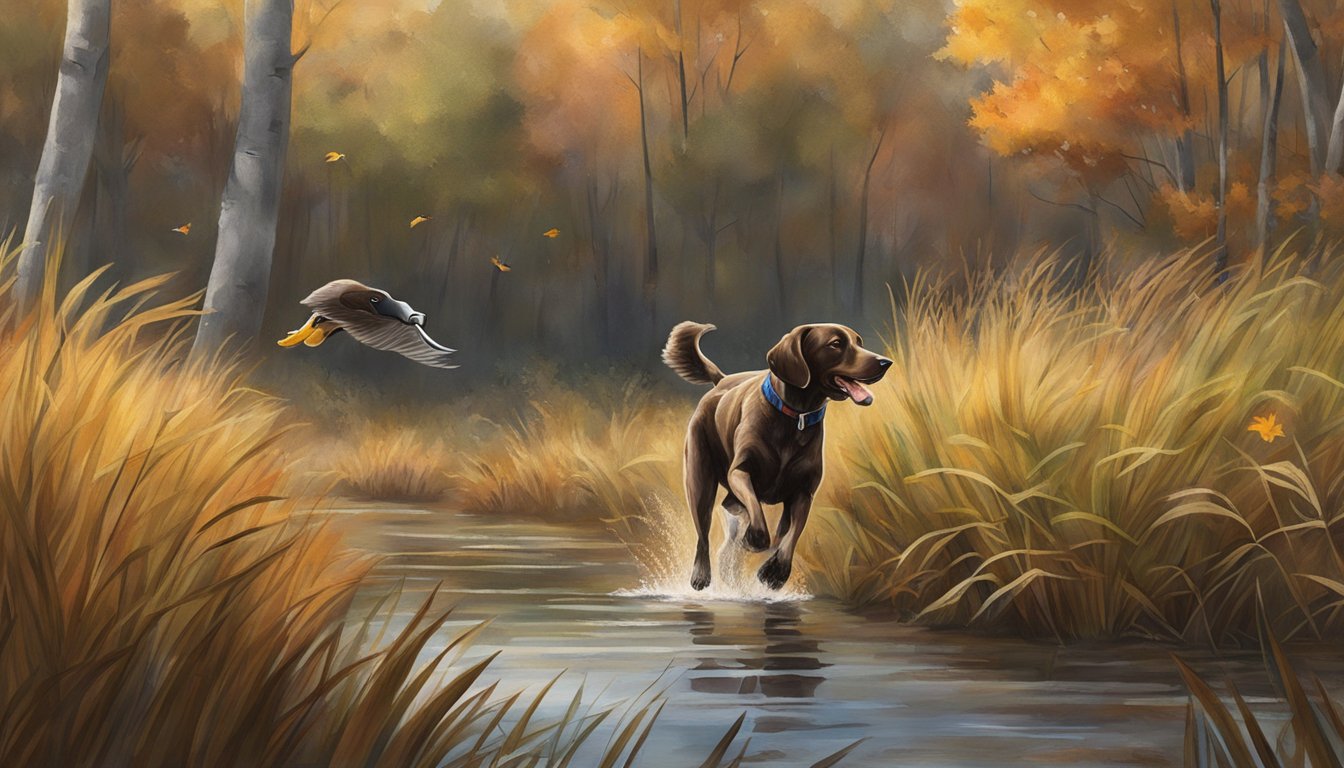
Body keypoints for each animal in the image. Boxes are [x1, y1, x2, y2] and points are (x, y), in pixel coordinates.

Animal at [661, 321, 892, 591]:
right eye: (835, 344)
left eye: (859, 342)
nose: (885, 362)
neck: (795, 417)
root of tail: (721, 381)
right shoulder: (740, 472)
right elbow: (758, 518)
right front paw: (754, 539)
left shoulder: (803, 493)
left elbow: (791, 536)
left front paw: (775, 572)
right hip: (699, 479)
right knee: (703, 531)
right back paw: (702, 574)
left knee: (733, 510)